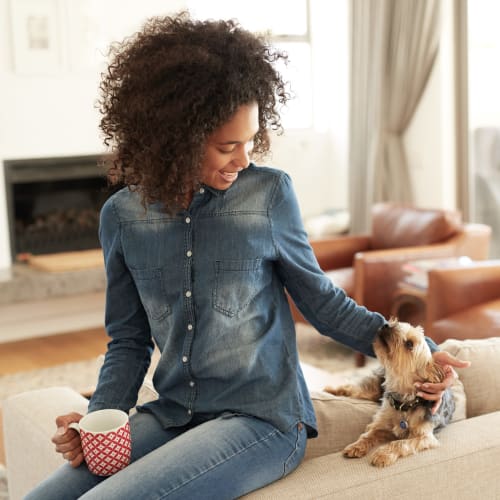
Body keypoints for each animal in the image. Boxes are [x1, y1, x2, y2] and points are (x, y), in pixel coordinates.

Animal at [326, 318, 456, 466]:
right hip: (373, 389)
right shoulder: (380, 424)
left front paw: (383, 454)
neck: (404, 401)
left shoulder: (425, 437)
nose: (386, 325)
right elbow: (368, 434)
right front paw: (356, 446)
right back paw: (331, 389)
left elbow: (400, 443)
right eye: (398, 323)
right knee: (353, 388)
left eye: (409, 344)